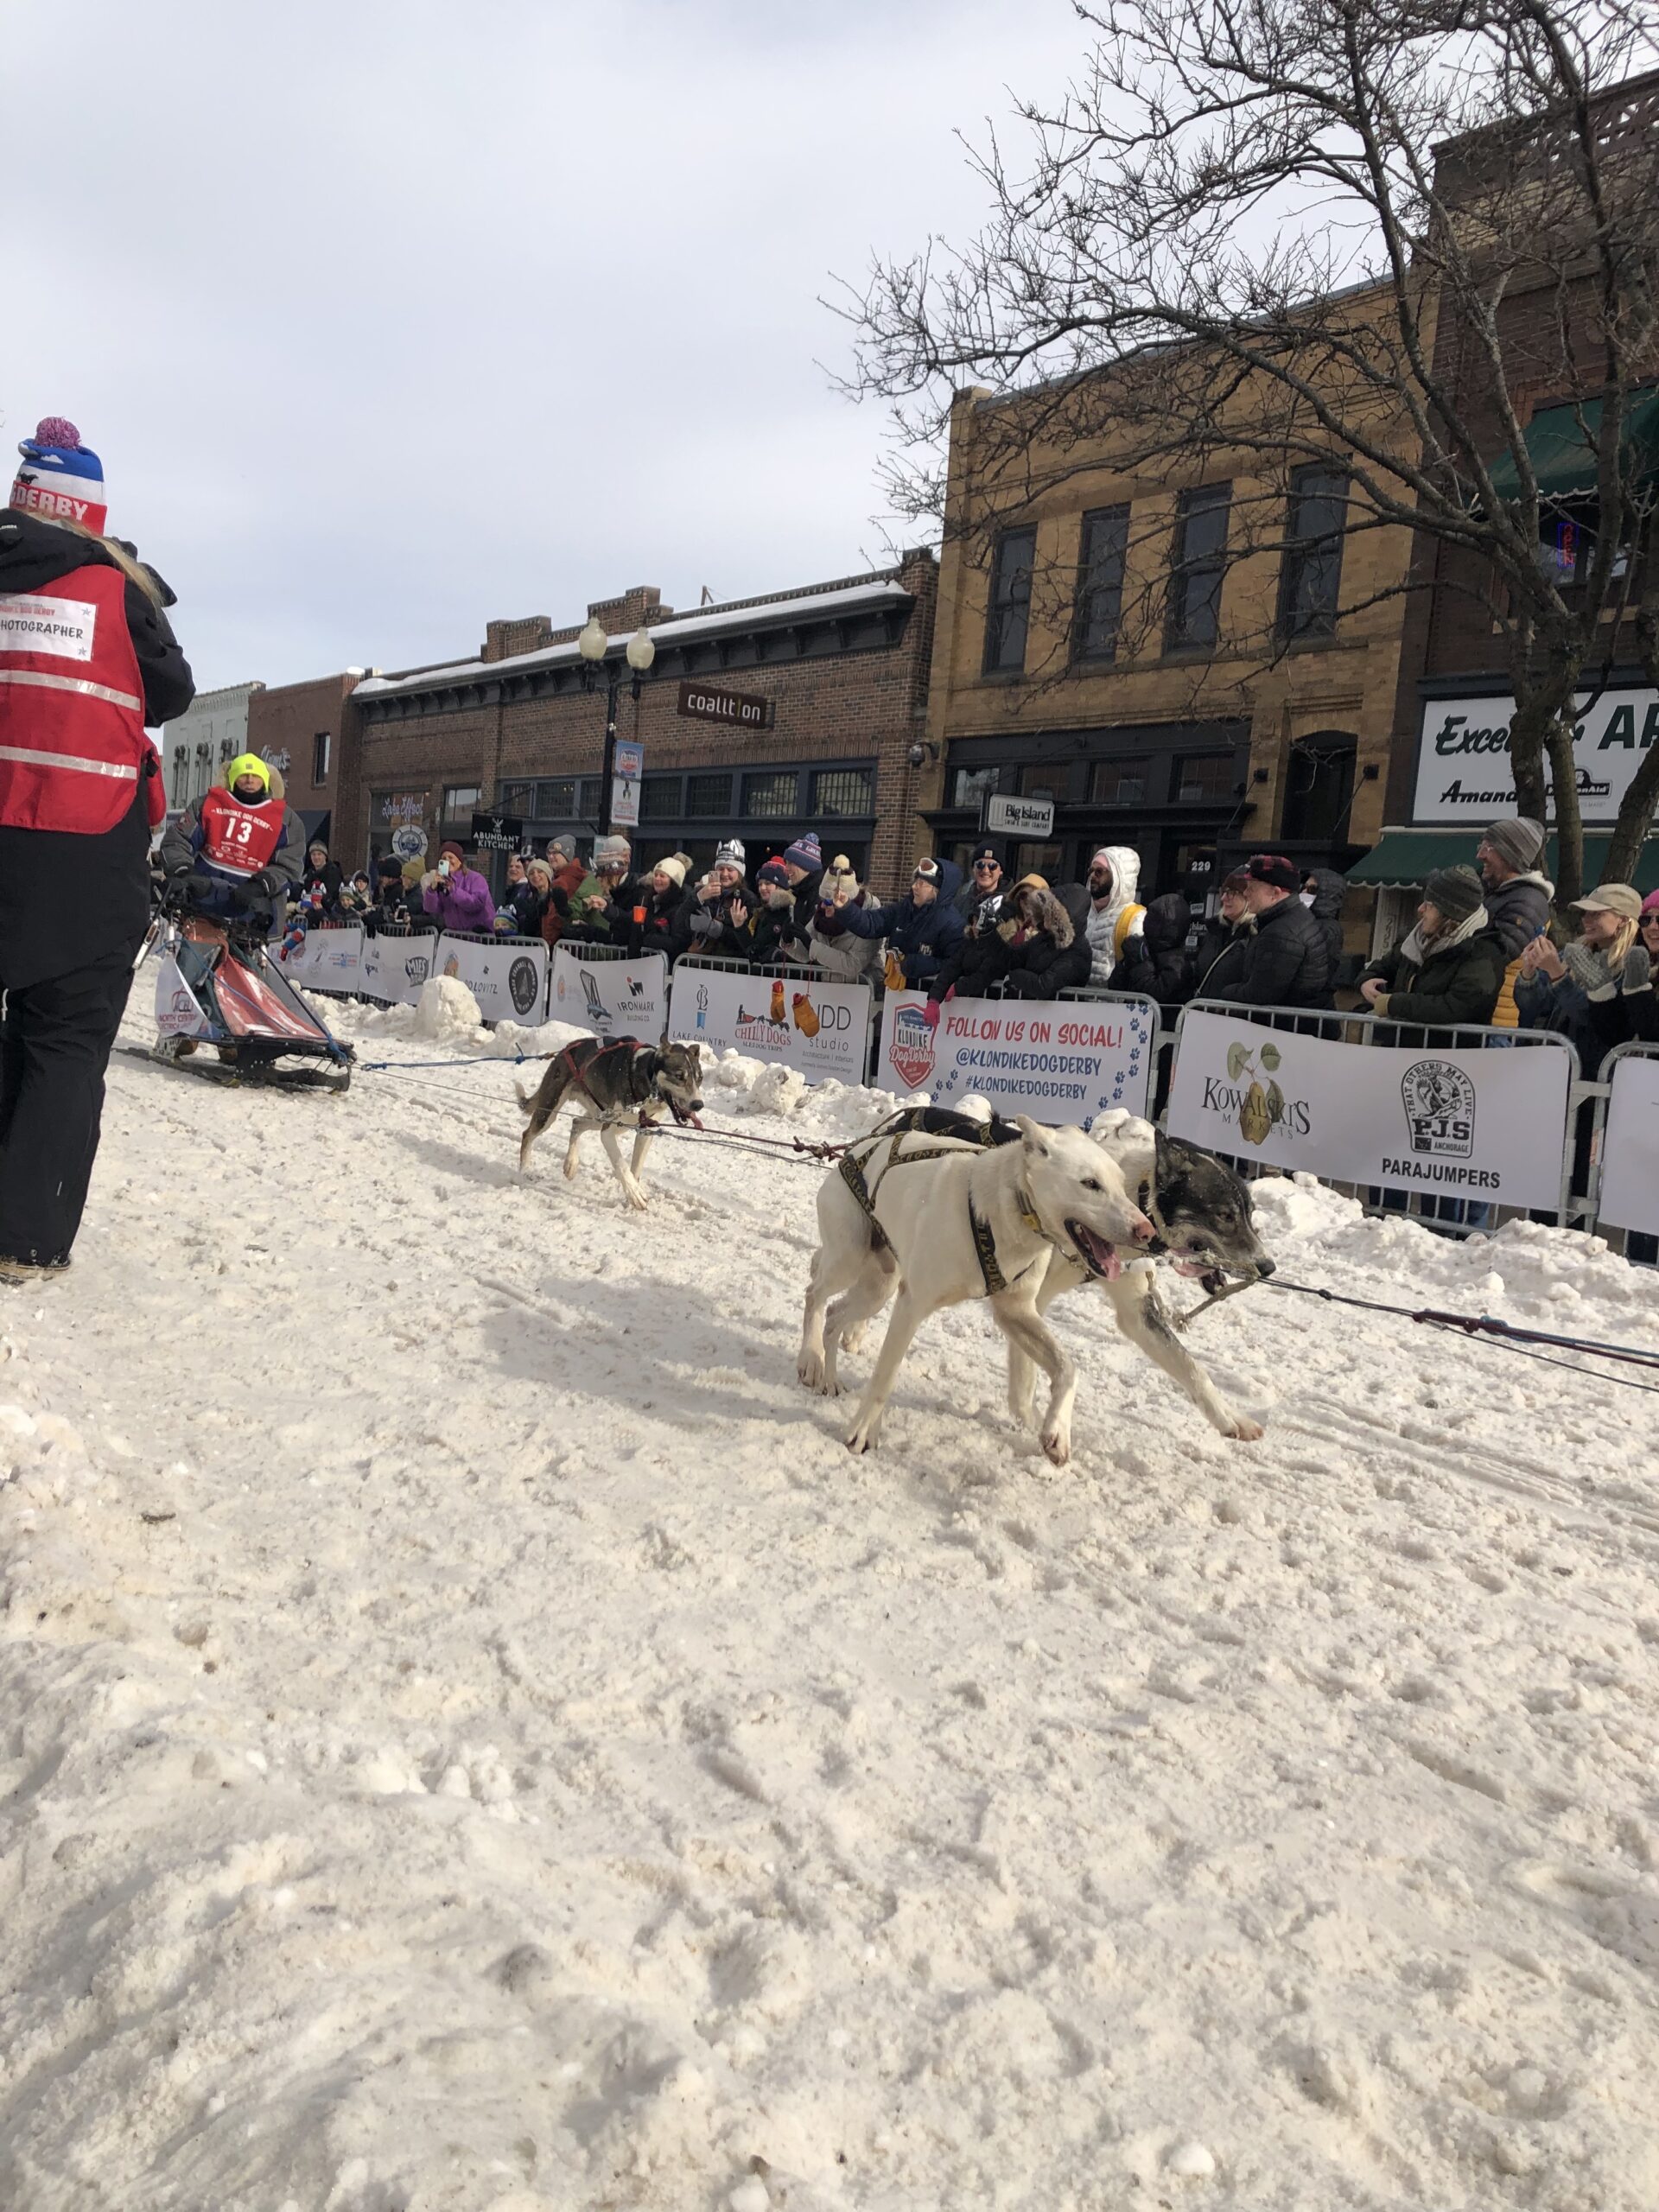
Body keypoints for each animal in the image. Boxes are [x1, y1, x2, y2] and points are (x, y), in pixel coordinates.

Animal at [518, 1035, 703, 1211]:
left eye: (700, 1078)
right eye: (679, 1076)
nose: (698, 1104)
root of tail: (566, 1049)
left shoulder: (645, 1132)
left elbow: (635, 1169)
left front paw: (633, 1193)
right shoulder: (608, 1132)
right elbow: (621, 1164)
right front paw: (634, 1193)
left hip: (599, 1117)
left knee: (576, 1122)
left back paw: (571, 1164)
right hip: (550, 1112)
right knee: (528, 1134)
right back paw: (525, 1171)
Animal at [800, 1123, 1159, 1468]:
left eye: (1121, 1184)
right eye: (1090, 1183)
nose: (1146, 1231)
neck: (1002, 1212)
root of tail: (854, 1150)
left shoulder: (1016, 1311)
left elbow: (1067, 1368)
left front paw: (1057, 1433)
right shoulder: (912, 1305)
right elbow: (884, 1378)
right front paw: (861, 1432)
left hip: (879, 1286)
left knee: (834, 1315)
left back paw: (829, 1378)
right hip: (849, 1261)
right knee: (814, 1294)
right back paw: (812, 1359)